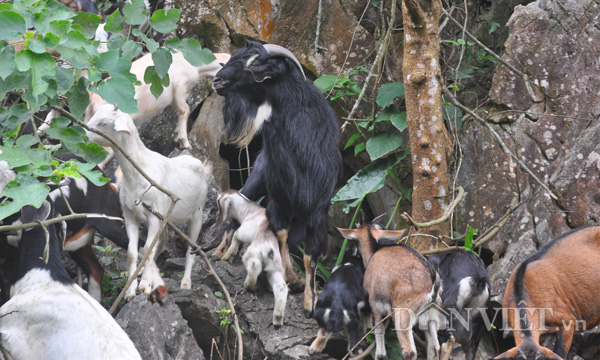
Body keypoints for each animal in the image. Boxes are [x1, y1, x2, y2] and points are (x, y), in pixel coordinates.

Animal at [86, 103, 211, 300]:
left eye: (103, 123)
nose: (84, 134)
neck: (138, 173)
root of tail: (198, 162)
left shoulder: (154, 217)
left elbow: (148, 250)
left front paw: (144, 285)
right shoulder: (130, 214)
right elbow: (133, 251)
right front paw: (130, 291)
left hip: (198, 212)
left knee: (191, 248)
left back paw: (185, 283)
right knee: (162, 241)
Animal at [218, 190, 288, 328]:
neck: (250, 211)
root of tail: (270, 249)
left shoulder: (243, 231)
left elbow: (235, 236)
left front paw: (227, 256)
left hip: (252, 255)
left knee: (254, 265)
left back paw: (248, 284)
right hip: (275, 270)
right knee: (281, 287)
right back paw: (277, 318)